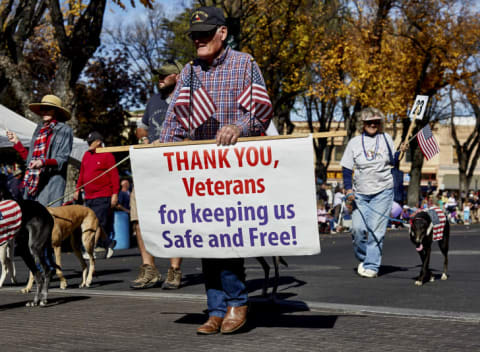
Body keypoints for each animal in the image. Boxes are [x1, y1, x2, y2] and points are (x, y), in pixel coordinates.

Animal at [0, 175, 55, 306]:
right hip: (25, 250)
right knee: (38, 275)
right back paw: (35, 301)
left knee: (47, 271)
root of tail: (46, 211)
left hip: (34, 248)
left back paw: (43, 300)